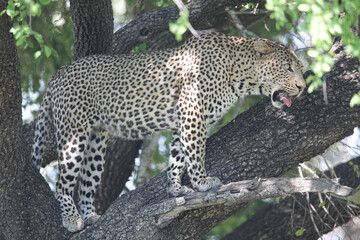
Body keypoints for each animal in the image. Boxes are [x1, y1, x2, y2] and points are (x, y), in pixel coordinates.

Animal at [31, 32, 306, 232]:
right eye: (288, 68)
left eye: (300, 68)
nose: (303, 87)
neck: (239, 75)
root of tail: (57, 75)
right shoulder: (193, 113)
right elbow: (196, 154)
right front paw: (203, 183)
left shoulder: (182, 122)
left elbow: (178, 156)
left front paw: (175, 189)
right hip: (73, 133)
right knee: (62, 183)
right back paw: (71, 220)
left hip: (97, 141)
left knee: (87, 182)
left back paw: (90, 217)